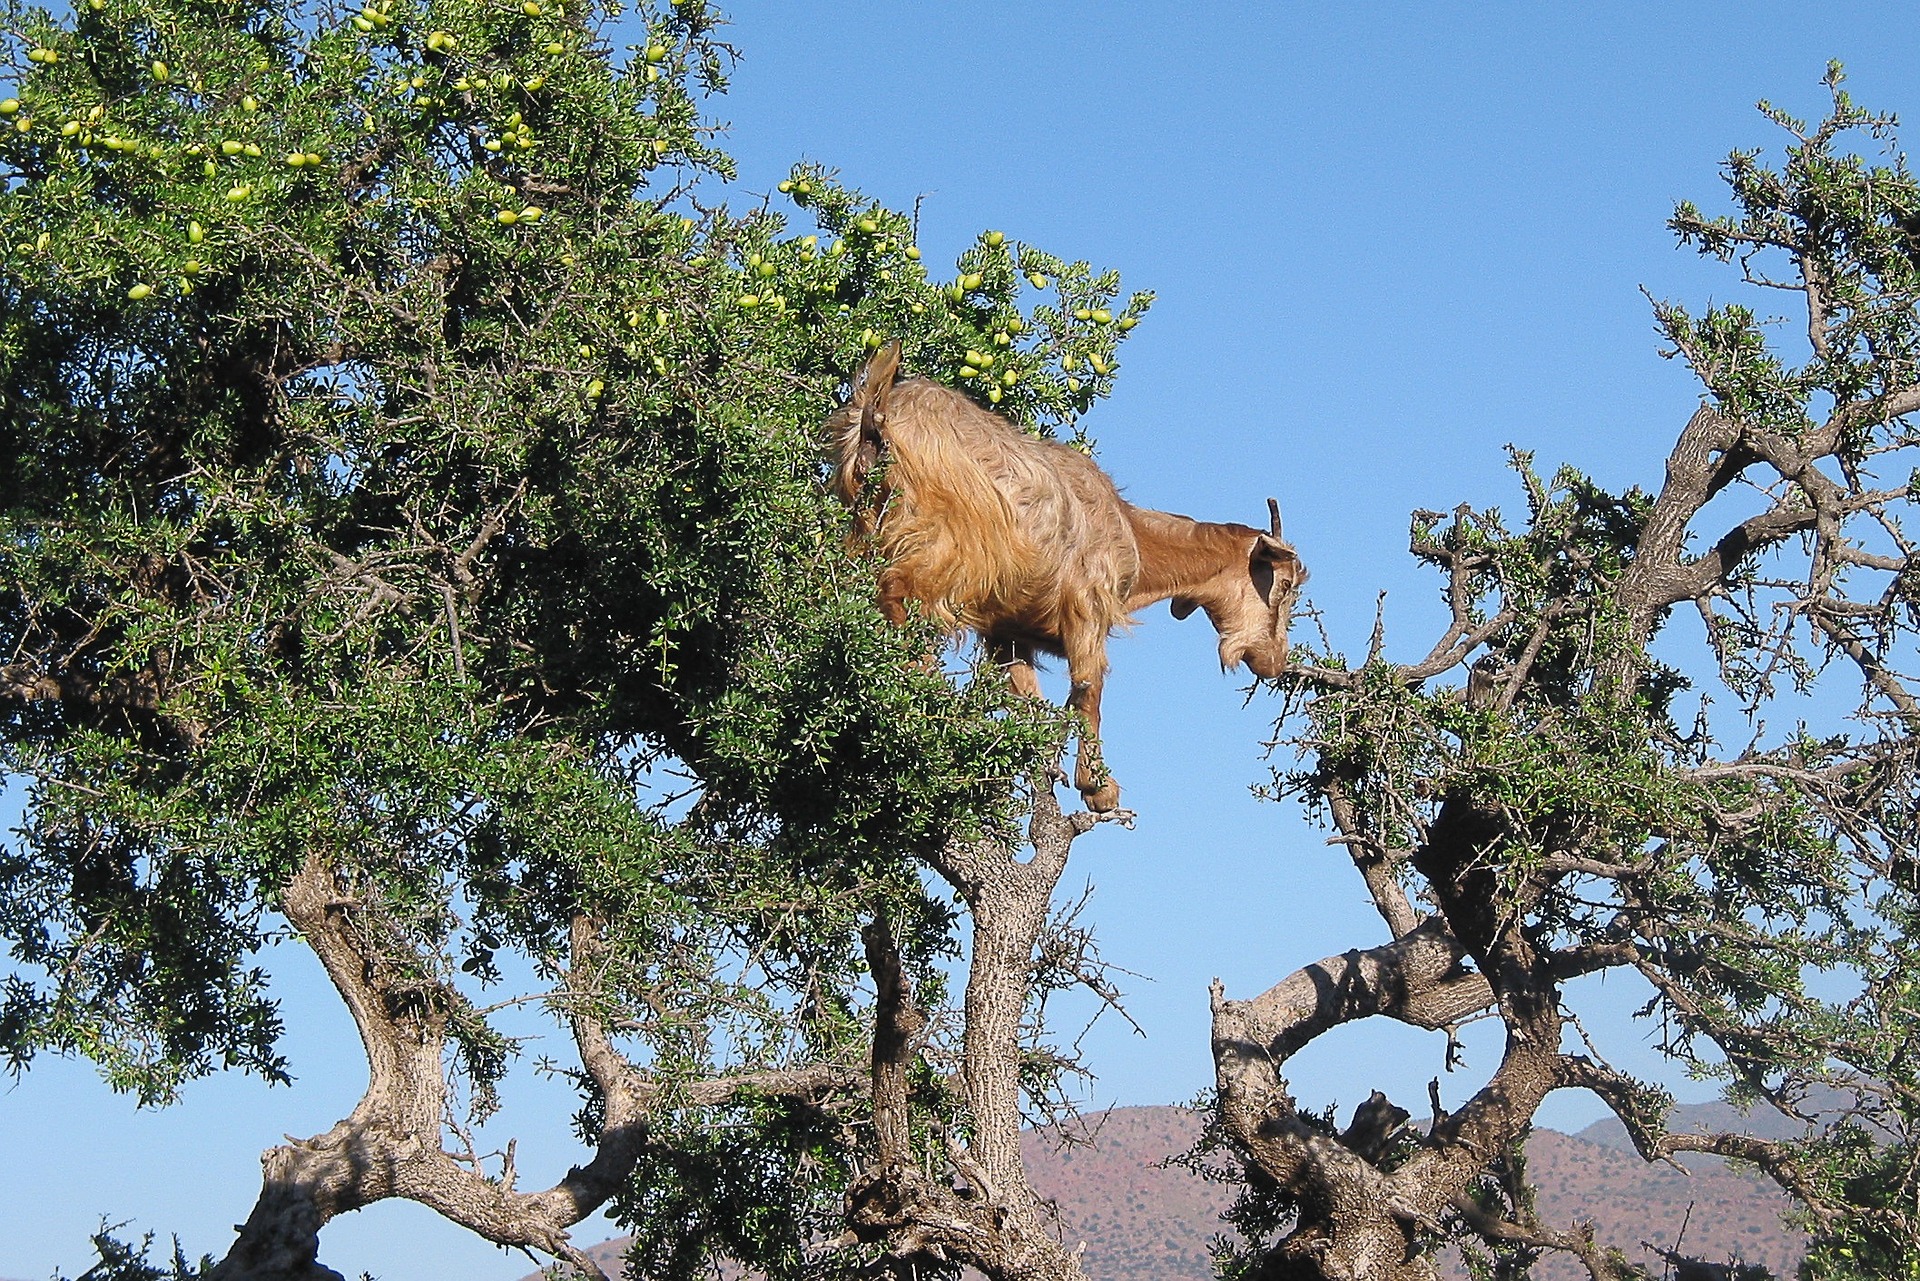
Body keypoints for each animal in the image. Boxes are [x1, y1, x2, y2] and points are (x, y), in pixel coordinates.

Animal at [826, 341, 1306, 811]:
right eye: (1282, 586)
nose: (1274, 662)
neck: (1131, 533)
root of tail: (878, 413)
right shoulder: (1086, 609)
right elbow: (1088, 690)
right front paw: (1098, 787)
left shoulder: (1007, 631)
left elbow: (1027, 695)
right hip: (945, 551)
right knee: (897, 591)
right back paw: (921, 682)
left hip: (860, 530)